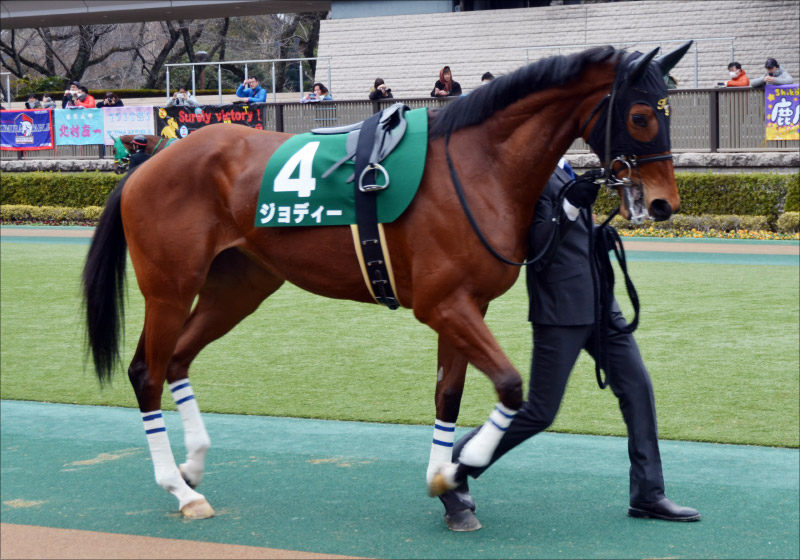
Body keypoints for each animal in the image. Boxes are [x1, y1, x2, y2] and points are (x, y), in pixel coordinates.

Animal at [82, 42, 692, 520]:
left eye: (668, 110)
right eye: (641, 115)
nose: (664, 203)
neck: (477, 165)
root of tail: (149, 163)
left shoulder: (467, 306)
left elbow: (450, 394)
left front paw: (449, 484)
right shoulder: (443, 305)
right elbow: (511, 385)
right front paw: (462, 467)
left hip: (238, 287)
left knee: (178, 361)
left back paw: (193, 465)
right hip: (169, 288)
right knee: (147, 372)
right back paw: (178, 488)